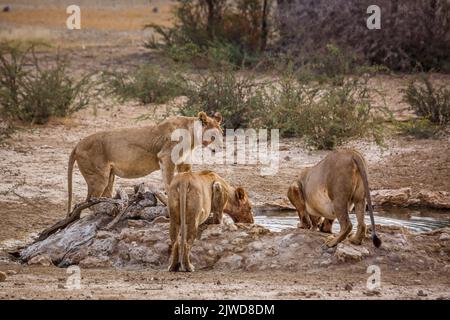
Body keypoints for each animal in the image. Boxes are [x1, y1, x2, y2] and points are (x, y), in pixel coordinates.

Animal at [67, 111, 221, 214]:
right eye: (213, 136)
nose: (220, 148)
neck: (191, 135)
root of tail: (77, 145)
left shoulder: (184, 163)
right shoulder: (166, 157)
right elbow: (169, 182)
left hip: (109, 176)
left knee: (100, 197)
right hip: (98, 177)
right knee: (90, 201)